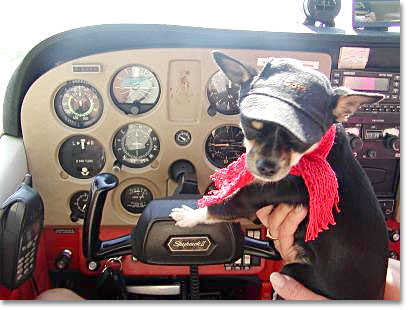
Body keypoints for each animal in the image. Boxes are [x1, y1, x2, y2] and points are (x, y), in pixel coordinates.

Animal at [171, 52, 390, 300]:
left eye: (300, 140)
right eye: (250, 125)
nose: (266, 167)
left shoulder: (258, 196)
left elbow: (226, 204)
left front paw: (191, 215)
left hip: (295, 270)